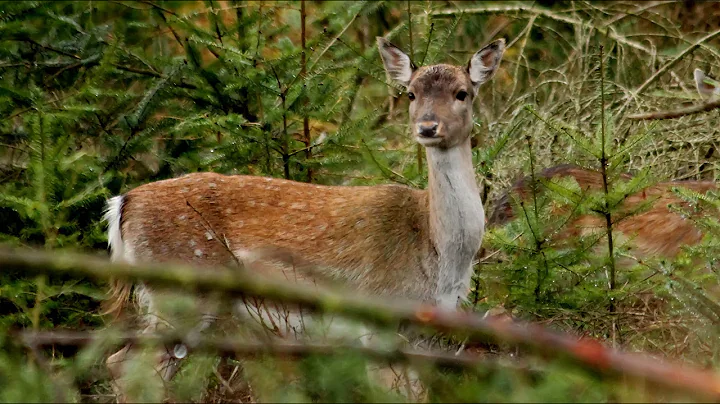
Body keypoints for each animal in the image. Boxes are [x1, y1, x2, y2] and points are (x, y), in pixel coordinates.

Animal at [102, 36, 506, 402]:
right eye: (410, 93)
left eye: (462, 93)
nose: (427, 127)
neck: (435, 251)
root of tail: (123, 203)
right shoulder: (376, 323)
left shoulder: (421, 336)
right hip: (180, 288)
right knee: (126, 365)